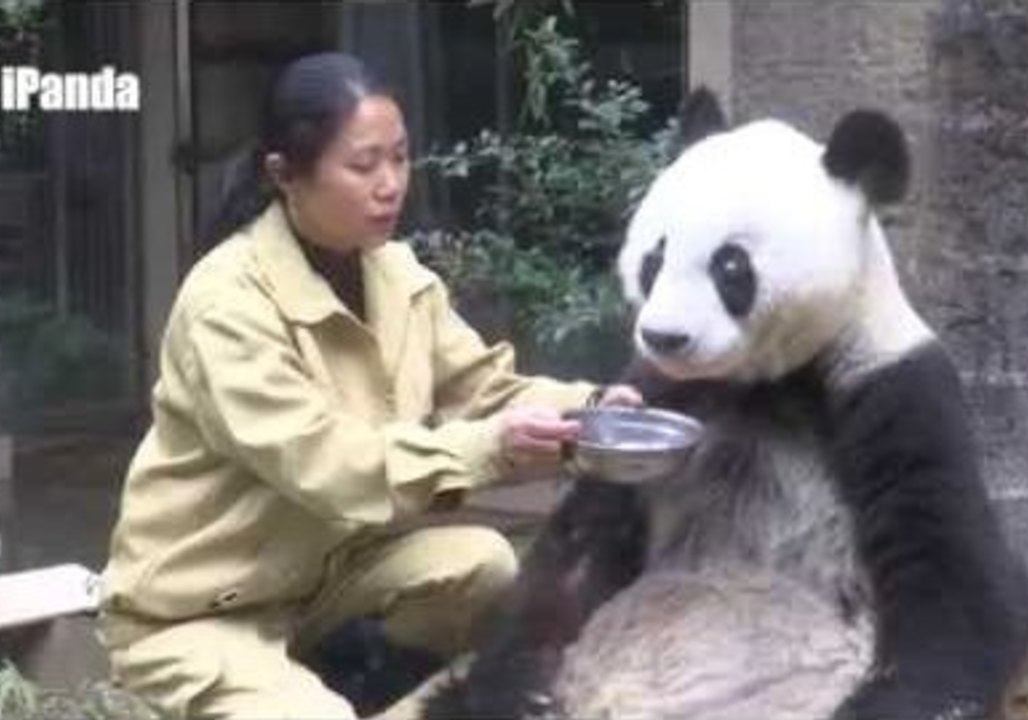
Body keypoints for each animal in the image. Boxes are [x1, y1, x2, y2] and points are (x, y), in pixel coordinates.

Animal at [422, 89, 1028, 720]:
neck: (763, 378)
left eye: (730, 265)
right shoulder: (658, 390)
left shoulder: (891, 388)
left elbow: (951, 584)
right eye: (655, 258)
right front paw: (521, 691)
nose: (663, 336)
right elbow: (573, 554)